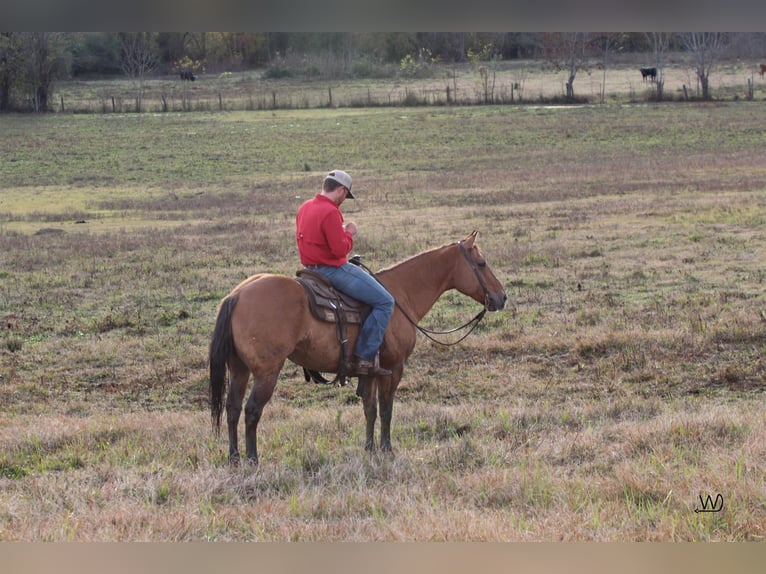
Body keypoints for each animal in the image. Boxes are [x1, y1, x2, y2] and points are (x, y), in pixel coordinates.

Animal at [210, 232, 510, 466]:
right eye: (481, 263)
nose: (502, 297)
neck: (400, 295)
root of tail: (237, 295)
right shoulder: (393, 368)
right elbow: (386, 409)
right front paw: (387, 450)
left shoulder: (371, 371)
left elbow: (370, 409)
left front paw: (370, 449)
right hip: (266, 372)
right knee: (252, 410)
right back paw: (252, 459)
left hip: (239, 368)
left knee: (232, 408)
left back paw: (234, 458)